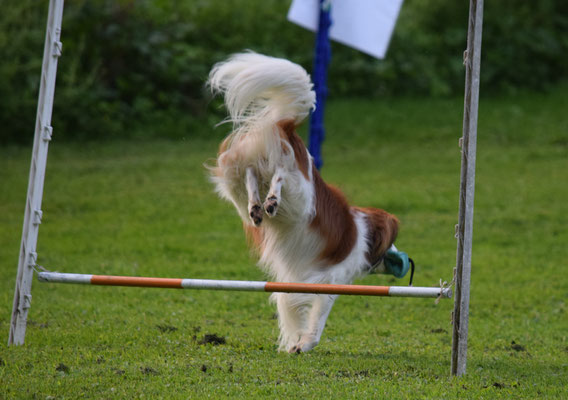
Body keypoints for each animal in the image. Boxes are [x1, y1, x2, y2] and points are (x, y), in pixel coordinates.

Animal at [206, 50, 398, 354]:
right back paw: (271, 201)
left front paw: (294, 341)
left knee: (251, 176)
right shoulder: (329, 282)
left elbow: (290, 307)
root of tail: (287, 127)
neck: (363, 233)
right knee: (280, 174)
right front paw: (304, 344)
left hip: (235, 177)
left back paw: (257, 206)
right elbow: (317, 320)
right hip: (301, 195)